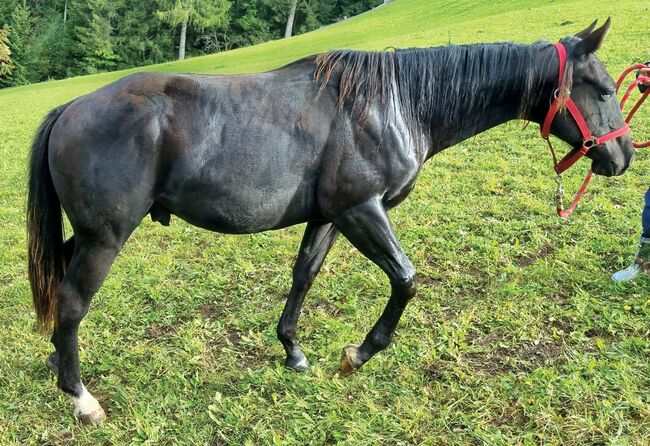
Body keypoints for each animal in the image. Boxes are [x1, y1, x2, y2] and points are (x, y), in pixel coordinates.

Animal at [27, 19, 632, 424]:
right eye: (603, 90)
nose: (622, 156)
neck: (394, 104)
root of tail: (72, 107)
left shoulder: (330, 217)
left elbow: (304, 276)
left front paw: (293, 351)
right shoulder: (362, 209)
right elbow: (405, 279)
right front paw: (358, 354)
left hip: (84, 236)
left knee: (60, 285)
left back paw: (58, 361)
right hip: (105, 238)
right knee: (74, 301)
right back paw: (81, 398)